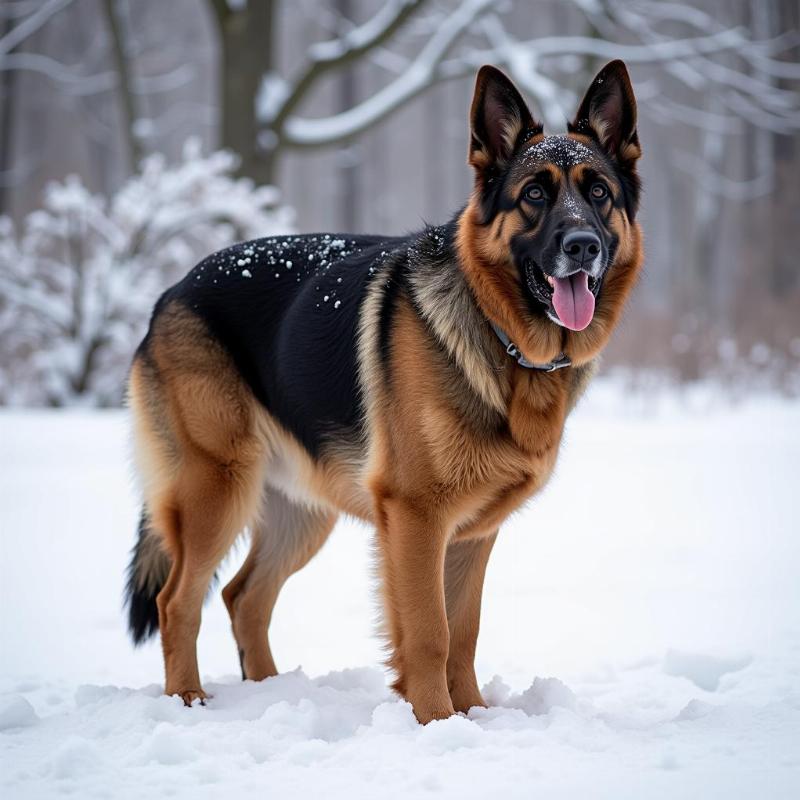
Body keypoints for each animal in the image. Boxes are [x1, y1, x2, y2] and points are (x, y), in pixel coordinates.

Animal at [126, 61, 644, 724]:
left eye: (599, 193)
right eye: (534, 194)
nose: (583, 245)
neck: (497, 334)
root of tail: (171, 291)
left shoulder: (472, 533)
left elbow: (465, 632)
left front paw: (474, 716)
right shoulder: (415, 518)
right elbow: (430, 633)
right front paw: (437, 723)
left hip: (300, 513)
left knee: (245, 598)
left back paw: (270, 694)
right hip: (216, 488)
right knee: (176, 602)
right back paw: (188, 700)